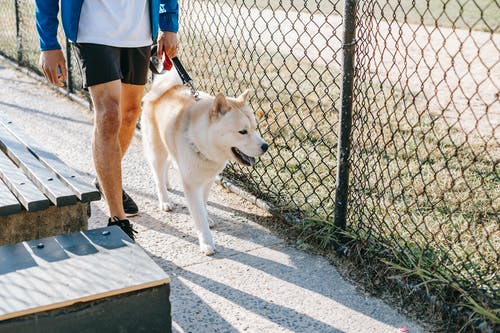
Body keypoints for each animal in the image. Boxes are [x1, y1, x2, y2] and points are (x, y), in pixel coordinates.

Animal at [143, 70, 268, 254]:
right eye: (242, 132)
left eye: (255, 128)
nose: (266, 146)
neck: (200, 141)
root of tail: (165, 90)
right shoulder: (191, 184)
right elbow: (198, 215)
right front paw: (206, 242)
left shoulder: (208, 180)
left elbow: (203, 204)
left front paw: (207, 218)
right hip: (157, 151)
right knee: (158, 175)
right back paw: (164, 200)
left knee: (166, 167)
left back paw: (167, 184)